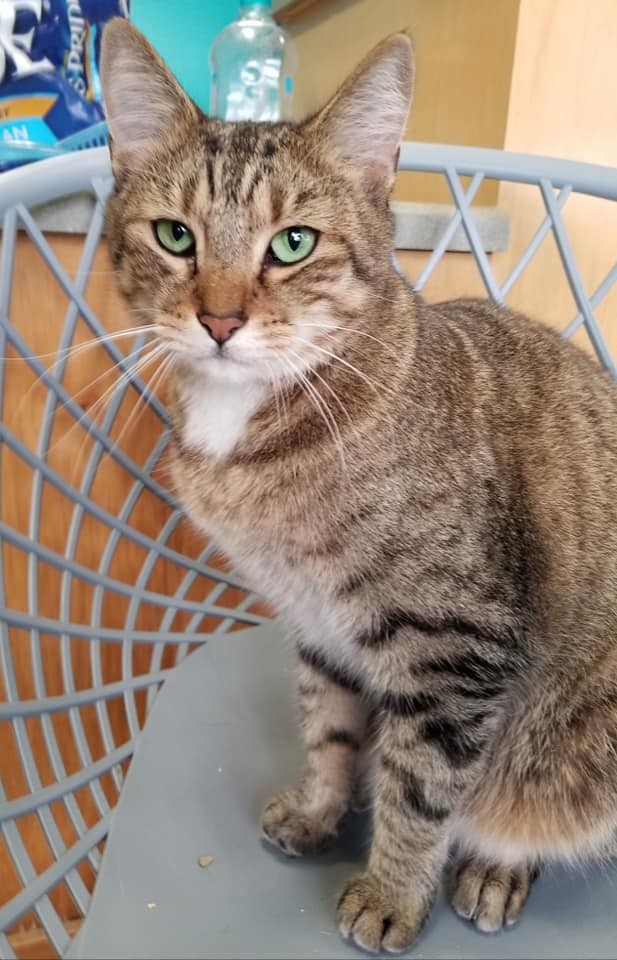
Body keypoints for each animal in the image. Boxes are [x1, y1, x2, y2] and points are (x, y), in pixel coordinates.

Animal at [100, 18, 616, 956]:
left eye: (293, 243)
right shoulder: (316, 621)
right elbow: (329, 728)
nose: (219, 319)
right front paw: (319, 809)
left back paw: (497, 865)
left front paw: (391, 890)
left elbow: (420, 786)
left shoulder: (454, 644)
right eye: (175, 236)